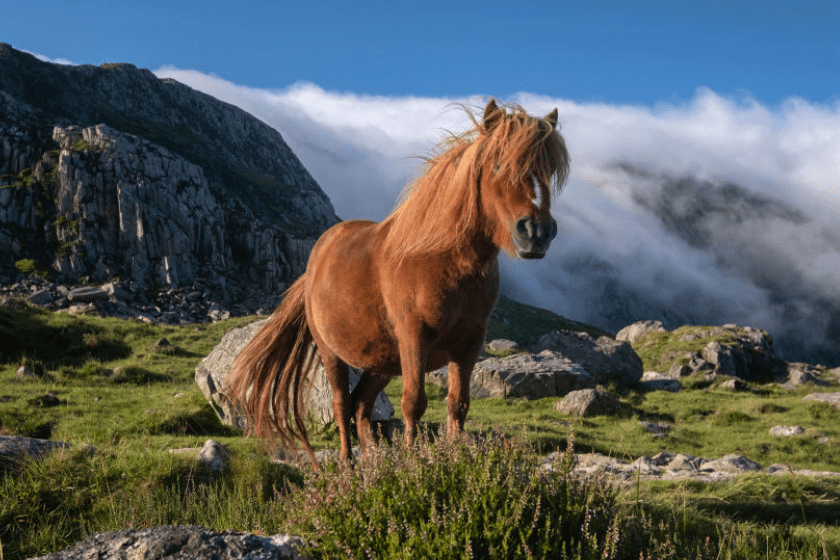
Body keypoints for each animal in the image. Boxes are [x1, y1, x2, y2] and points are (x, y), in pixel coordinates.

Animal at [228, 99, 572, 464]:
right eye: (497, 163)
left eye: (549, 170)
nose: (536, 232)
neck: (443, 261)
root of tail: (315, 263)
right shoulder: (413, 336)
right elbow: (413, 403)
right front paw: (412, 463)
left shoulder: (469, 343)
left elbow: (458, 404)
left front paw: (452, 461)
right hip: (331, 352)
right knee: (341, 404)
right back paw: (348, 465)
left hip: (382, 361)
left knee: (361, 404)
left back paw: (373, 465)